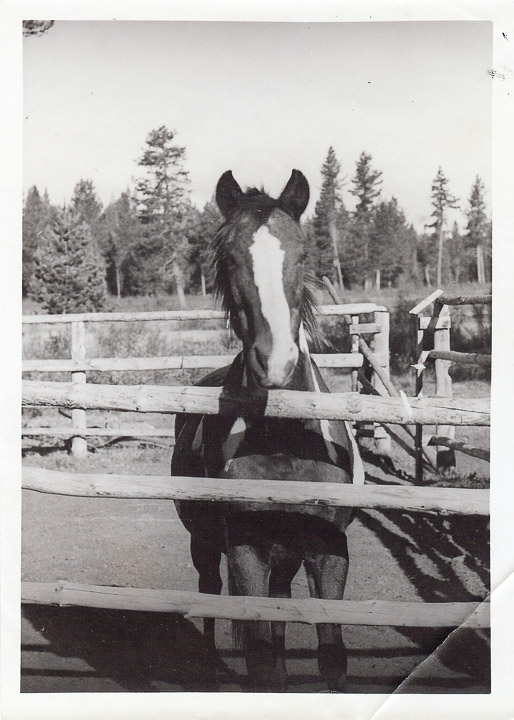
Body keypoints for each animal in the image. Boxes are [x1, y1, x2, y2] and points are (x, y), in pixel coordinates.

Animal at [172, 170, 364, 692]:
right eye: (230, 259)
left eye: (302, 256)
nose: (275, 361)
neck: (286, 442)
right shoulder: (246, 552)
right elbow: (258, 660)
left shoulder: (328, 552)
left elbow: (332, 656)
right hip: (205, 544)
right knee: (209, 593)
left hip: (286, 556)